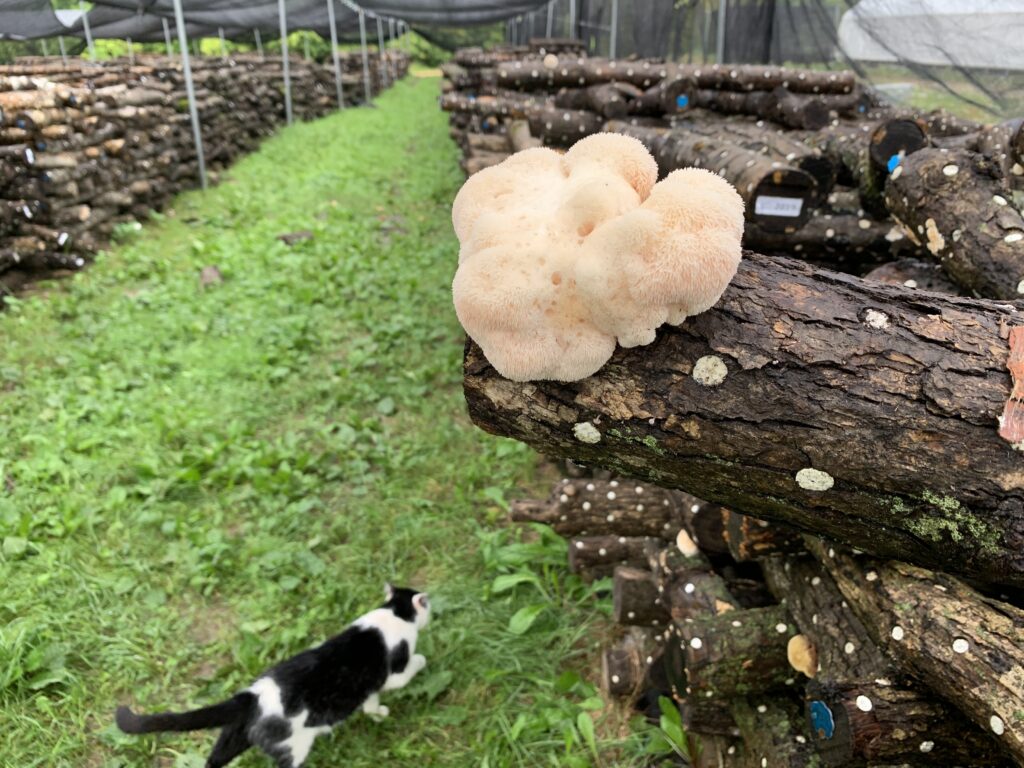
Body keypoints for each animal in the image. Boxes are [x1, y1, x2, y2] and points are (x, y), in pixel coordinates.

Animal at [116, 585, 432, 765]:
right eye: (426, 605)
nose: (432, 608)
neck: (395, 612)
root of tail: (252, 697)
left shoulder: (368, 686)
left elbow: (370, 703)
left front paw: (378, 714)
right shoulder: (393, 670)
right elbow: (412, 664)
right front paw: (422, 661)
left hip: (235, 736)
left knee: (213, 760)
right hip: (291, 747)